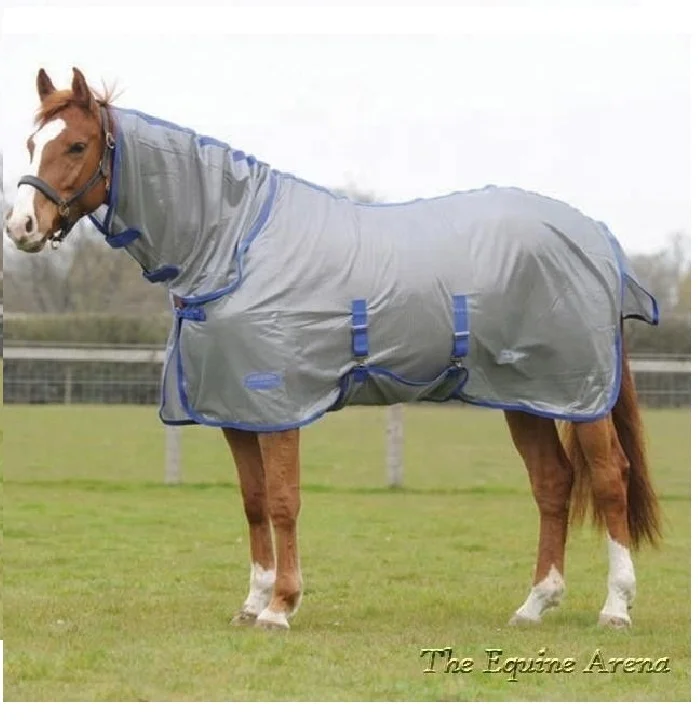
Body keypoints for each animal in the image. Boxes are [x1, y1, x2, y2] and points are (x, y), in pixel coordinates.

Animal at [5, 67, 661, 630]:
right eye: (32, 142)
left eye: (77, 146)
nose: (21, 227)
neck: (234, 245)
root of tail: (600, 240)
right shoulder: (237, 411)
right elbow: (253, 502)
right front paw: (253, 602)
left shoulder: (278, 407)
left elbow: (283, 501)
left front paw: (281, 607)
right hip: (525, 398)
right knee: (552, 483)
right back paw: (534, 604)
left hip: (580, 395)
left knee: (609, 479)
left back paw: (616, 607)